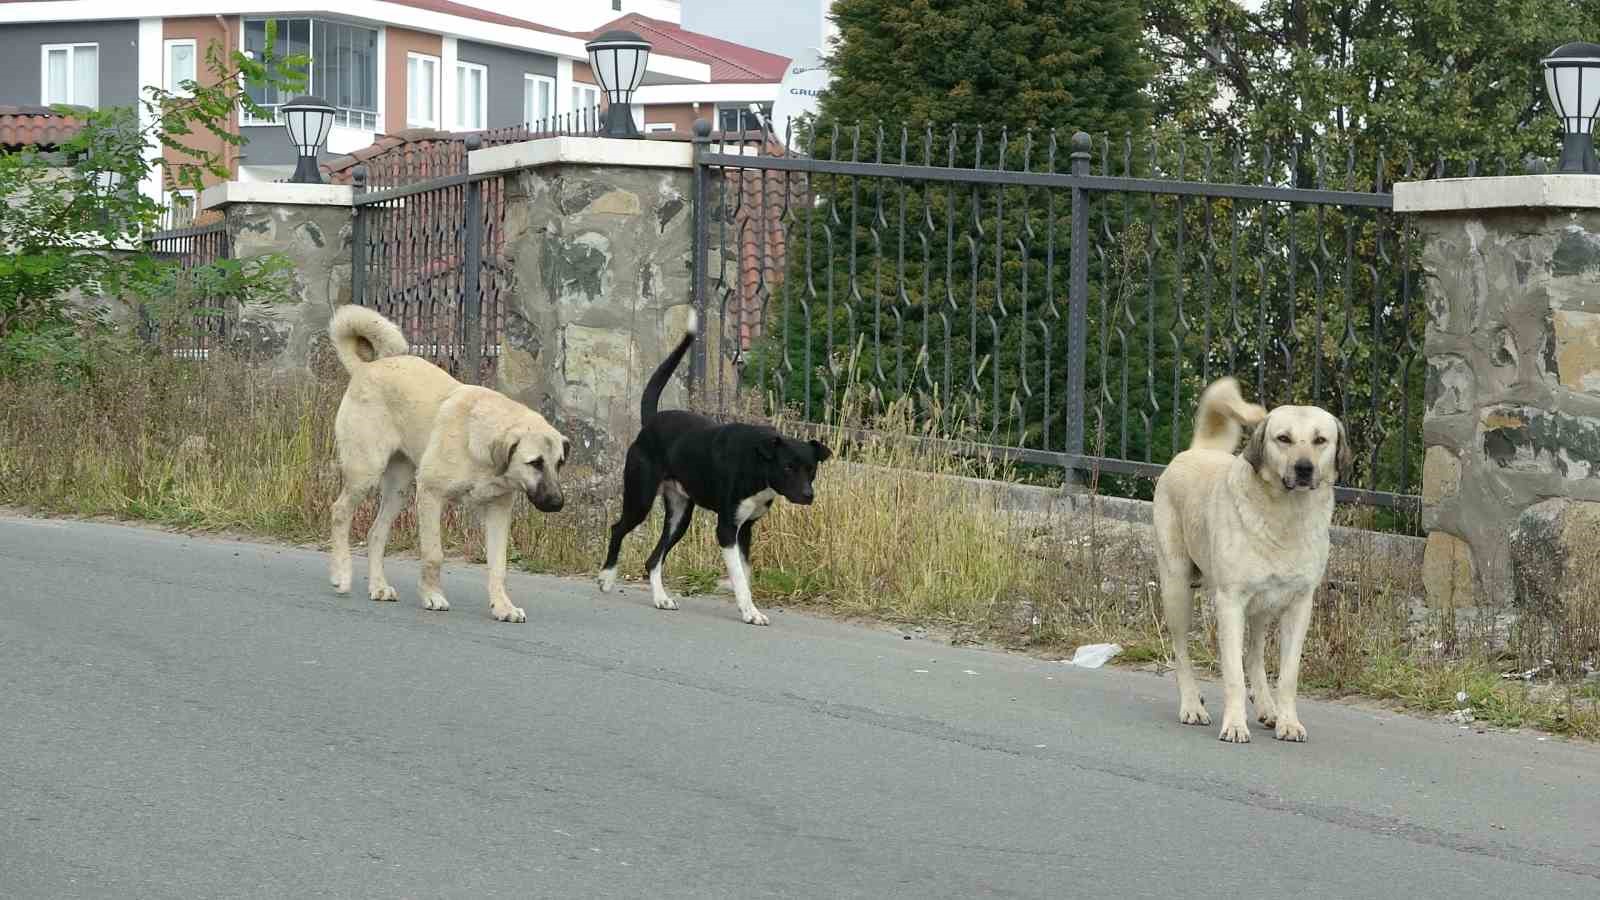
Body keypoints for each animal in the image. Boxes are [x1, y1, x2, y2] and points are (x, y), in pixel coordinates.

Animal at [328, 304, 572, 621]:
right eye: (535, 463)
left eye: (559, 463)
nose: (557, 503)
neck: (481, 445)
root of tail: (366, 368)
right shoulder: (431, 494)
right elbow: (434, 554)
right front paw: (432, 596)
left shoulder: (498, 511)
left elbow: (499, 565)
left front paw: (502, 606)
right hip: (365, 474)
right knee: (339, 512)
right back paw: (341, 574)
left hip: (398, 489)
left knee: (375, 533)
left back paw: (378, 586)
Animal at [595, 312, 832, 621]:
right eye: (788, 467)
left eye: (811, 469)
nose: (808, 496)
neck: (756, 463)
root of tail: (651, 423)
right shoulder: (727, 530)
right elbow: (739, 577)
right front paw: (750, 612)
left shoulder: (745, 531)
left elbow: (745, 574)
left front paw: (747, 606)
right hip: (640, 499)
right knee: (618, 529)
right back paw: (607, 577)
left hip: (680, 516)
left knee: (653, 559)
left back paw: (661, 598)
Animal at [1152, 374, 1350, 739]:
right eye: (1283, 438)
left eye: (1320, 440)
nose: (1304, 469)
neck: (1287, 516)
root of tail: (1198, 450)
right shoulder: (1230, 602)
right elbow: (1232, 674)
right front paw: (1234, 725)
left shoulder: (1299, 606)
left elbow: (1287, 675)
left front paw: (1288, 722)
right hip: (1177, 589)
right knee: (1182, 652)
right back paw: (1192, 705)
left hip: (1262, 609)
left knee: (1254, 656)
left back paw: (1268, 709)